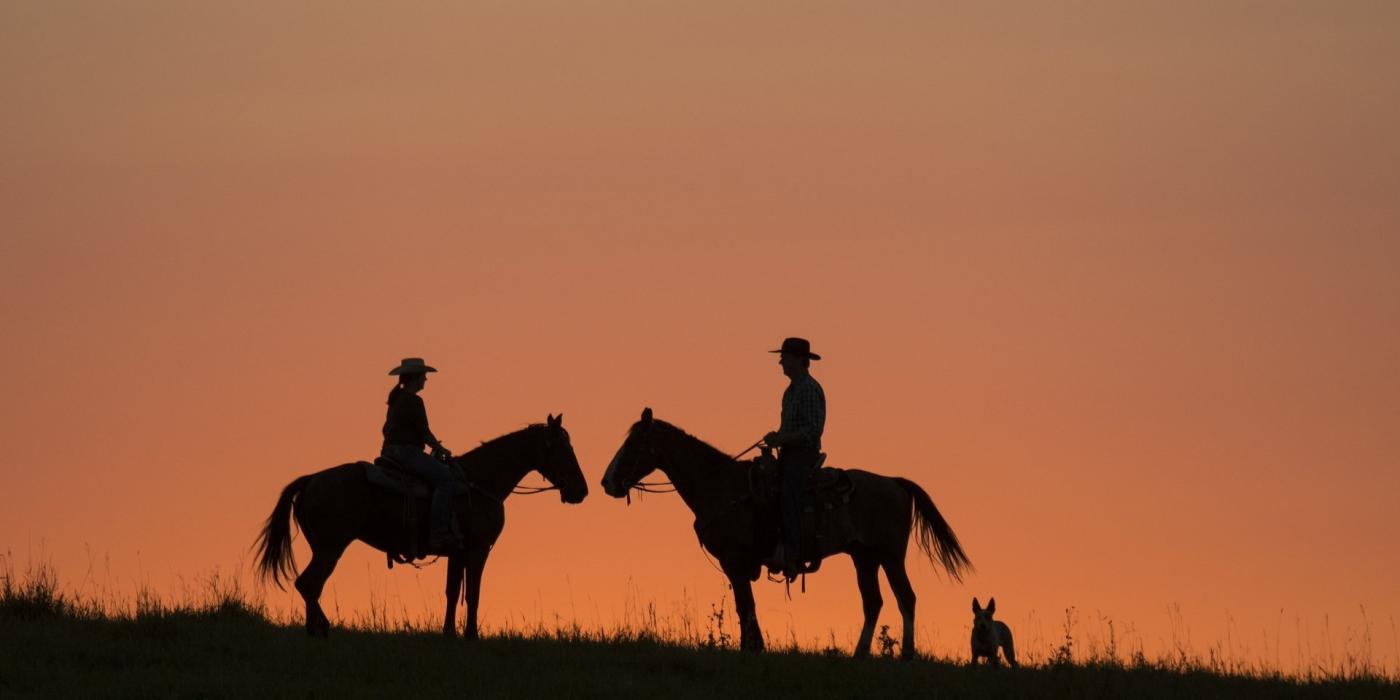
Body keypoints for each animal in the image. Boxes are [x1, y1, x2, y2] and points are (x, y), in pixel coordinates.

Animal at [256, 414, 585, 641]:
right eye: (562, 449)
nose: (581, 490)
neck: (480, 482)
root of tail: (312, 479)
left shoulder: (458, 553)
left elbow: (452, 592)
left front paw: (449, 634)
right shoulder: (477, 550)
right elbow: (473, 592)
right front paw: (471, 635)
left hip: (322, 548)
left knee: (309, 586)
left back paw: (314, 631)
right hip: (331, 548)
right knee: (309, 584)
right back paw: (321, 629)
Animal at [596, 408, 968, 658]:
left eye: (633, 445)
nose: (607, 482)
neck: (723, 486)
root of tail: (895, 482)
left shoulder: (736, 562)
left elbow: (745, 606)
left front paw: (752, 650)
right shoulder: (736, 566)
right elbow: (743, 607)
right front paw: (753, 648)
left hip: (891, 556)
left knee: (906, 597)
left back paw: (906, 655)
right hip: (864, 558)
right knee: (873, 602)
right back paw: (859, 655)